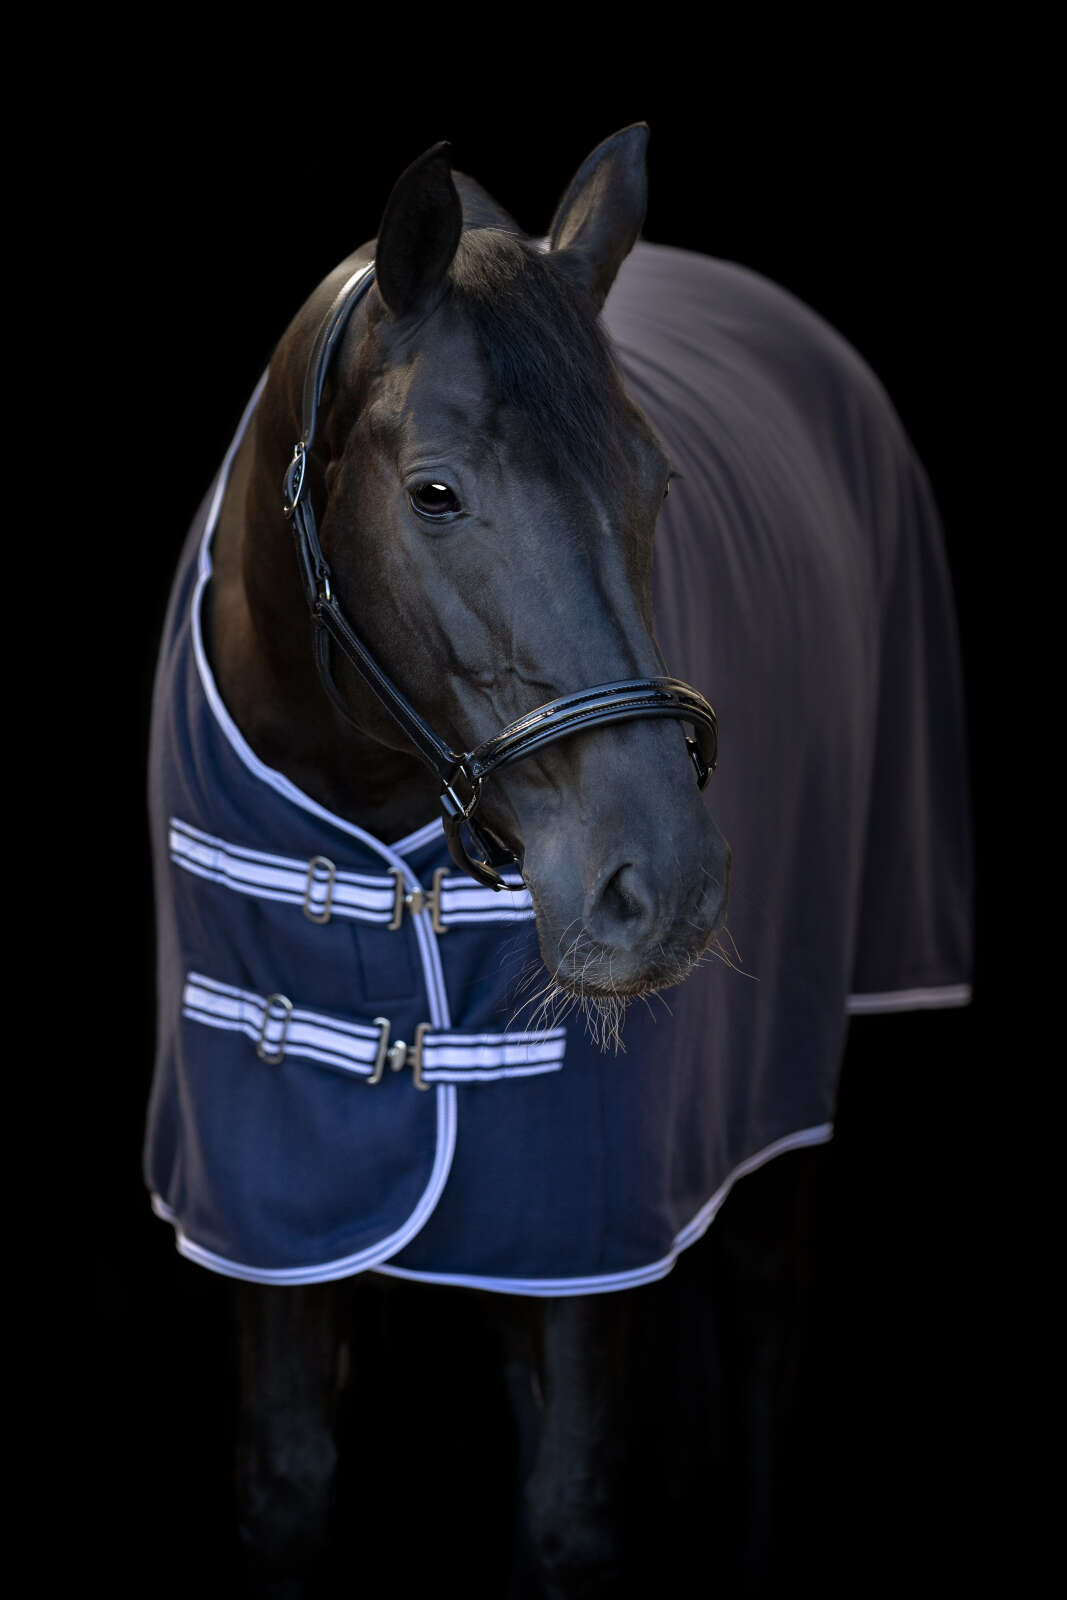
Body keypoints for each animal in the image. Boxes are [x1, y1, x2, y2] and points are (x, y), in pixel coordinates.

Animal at [144, 125, 972, 1595]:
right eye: (434, 491)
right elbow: (288, 1479)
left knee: (763, 1325)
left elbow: (570, 1501)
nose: (660, 887)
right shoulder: (271, 1224)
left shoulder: (577, 1245)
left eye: (656, 484)